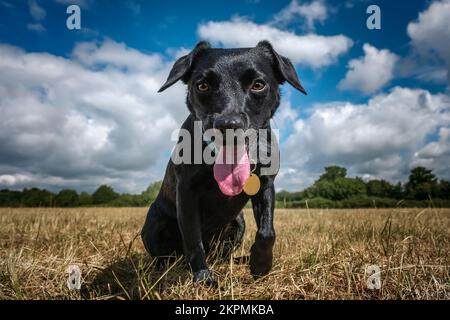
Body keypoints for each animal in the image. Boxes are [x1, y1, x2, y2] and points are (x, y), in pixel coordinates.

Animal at [142, 40, 306, 284]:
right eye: (202, 86)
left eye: (258, 85)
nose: (228, 125)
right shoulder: (186, 192)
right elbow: (193, 240)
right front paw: (203, 279)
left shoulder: (266, 185)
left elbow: (267, 232)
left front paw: (260, 265)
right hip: (155, 223)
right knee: (168, 256)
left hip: (238, 222)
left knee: (224, 254)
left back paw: (240, 260)